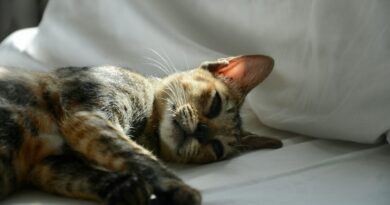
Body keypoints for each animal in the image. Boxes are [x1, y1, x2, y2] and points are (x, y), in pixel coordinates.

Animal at [0, 54, 280, 205]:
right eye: (215, 104)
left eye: (217, 148)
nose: (201, 131)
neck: (145, 130)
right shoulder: (89, 117)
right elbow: (139, 156)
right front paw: (184, 191)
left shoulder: (47, 166)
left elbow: (82, 176)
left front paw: (127, 188)